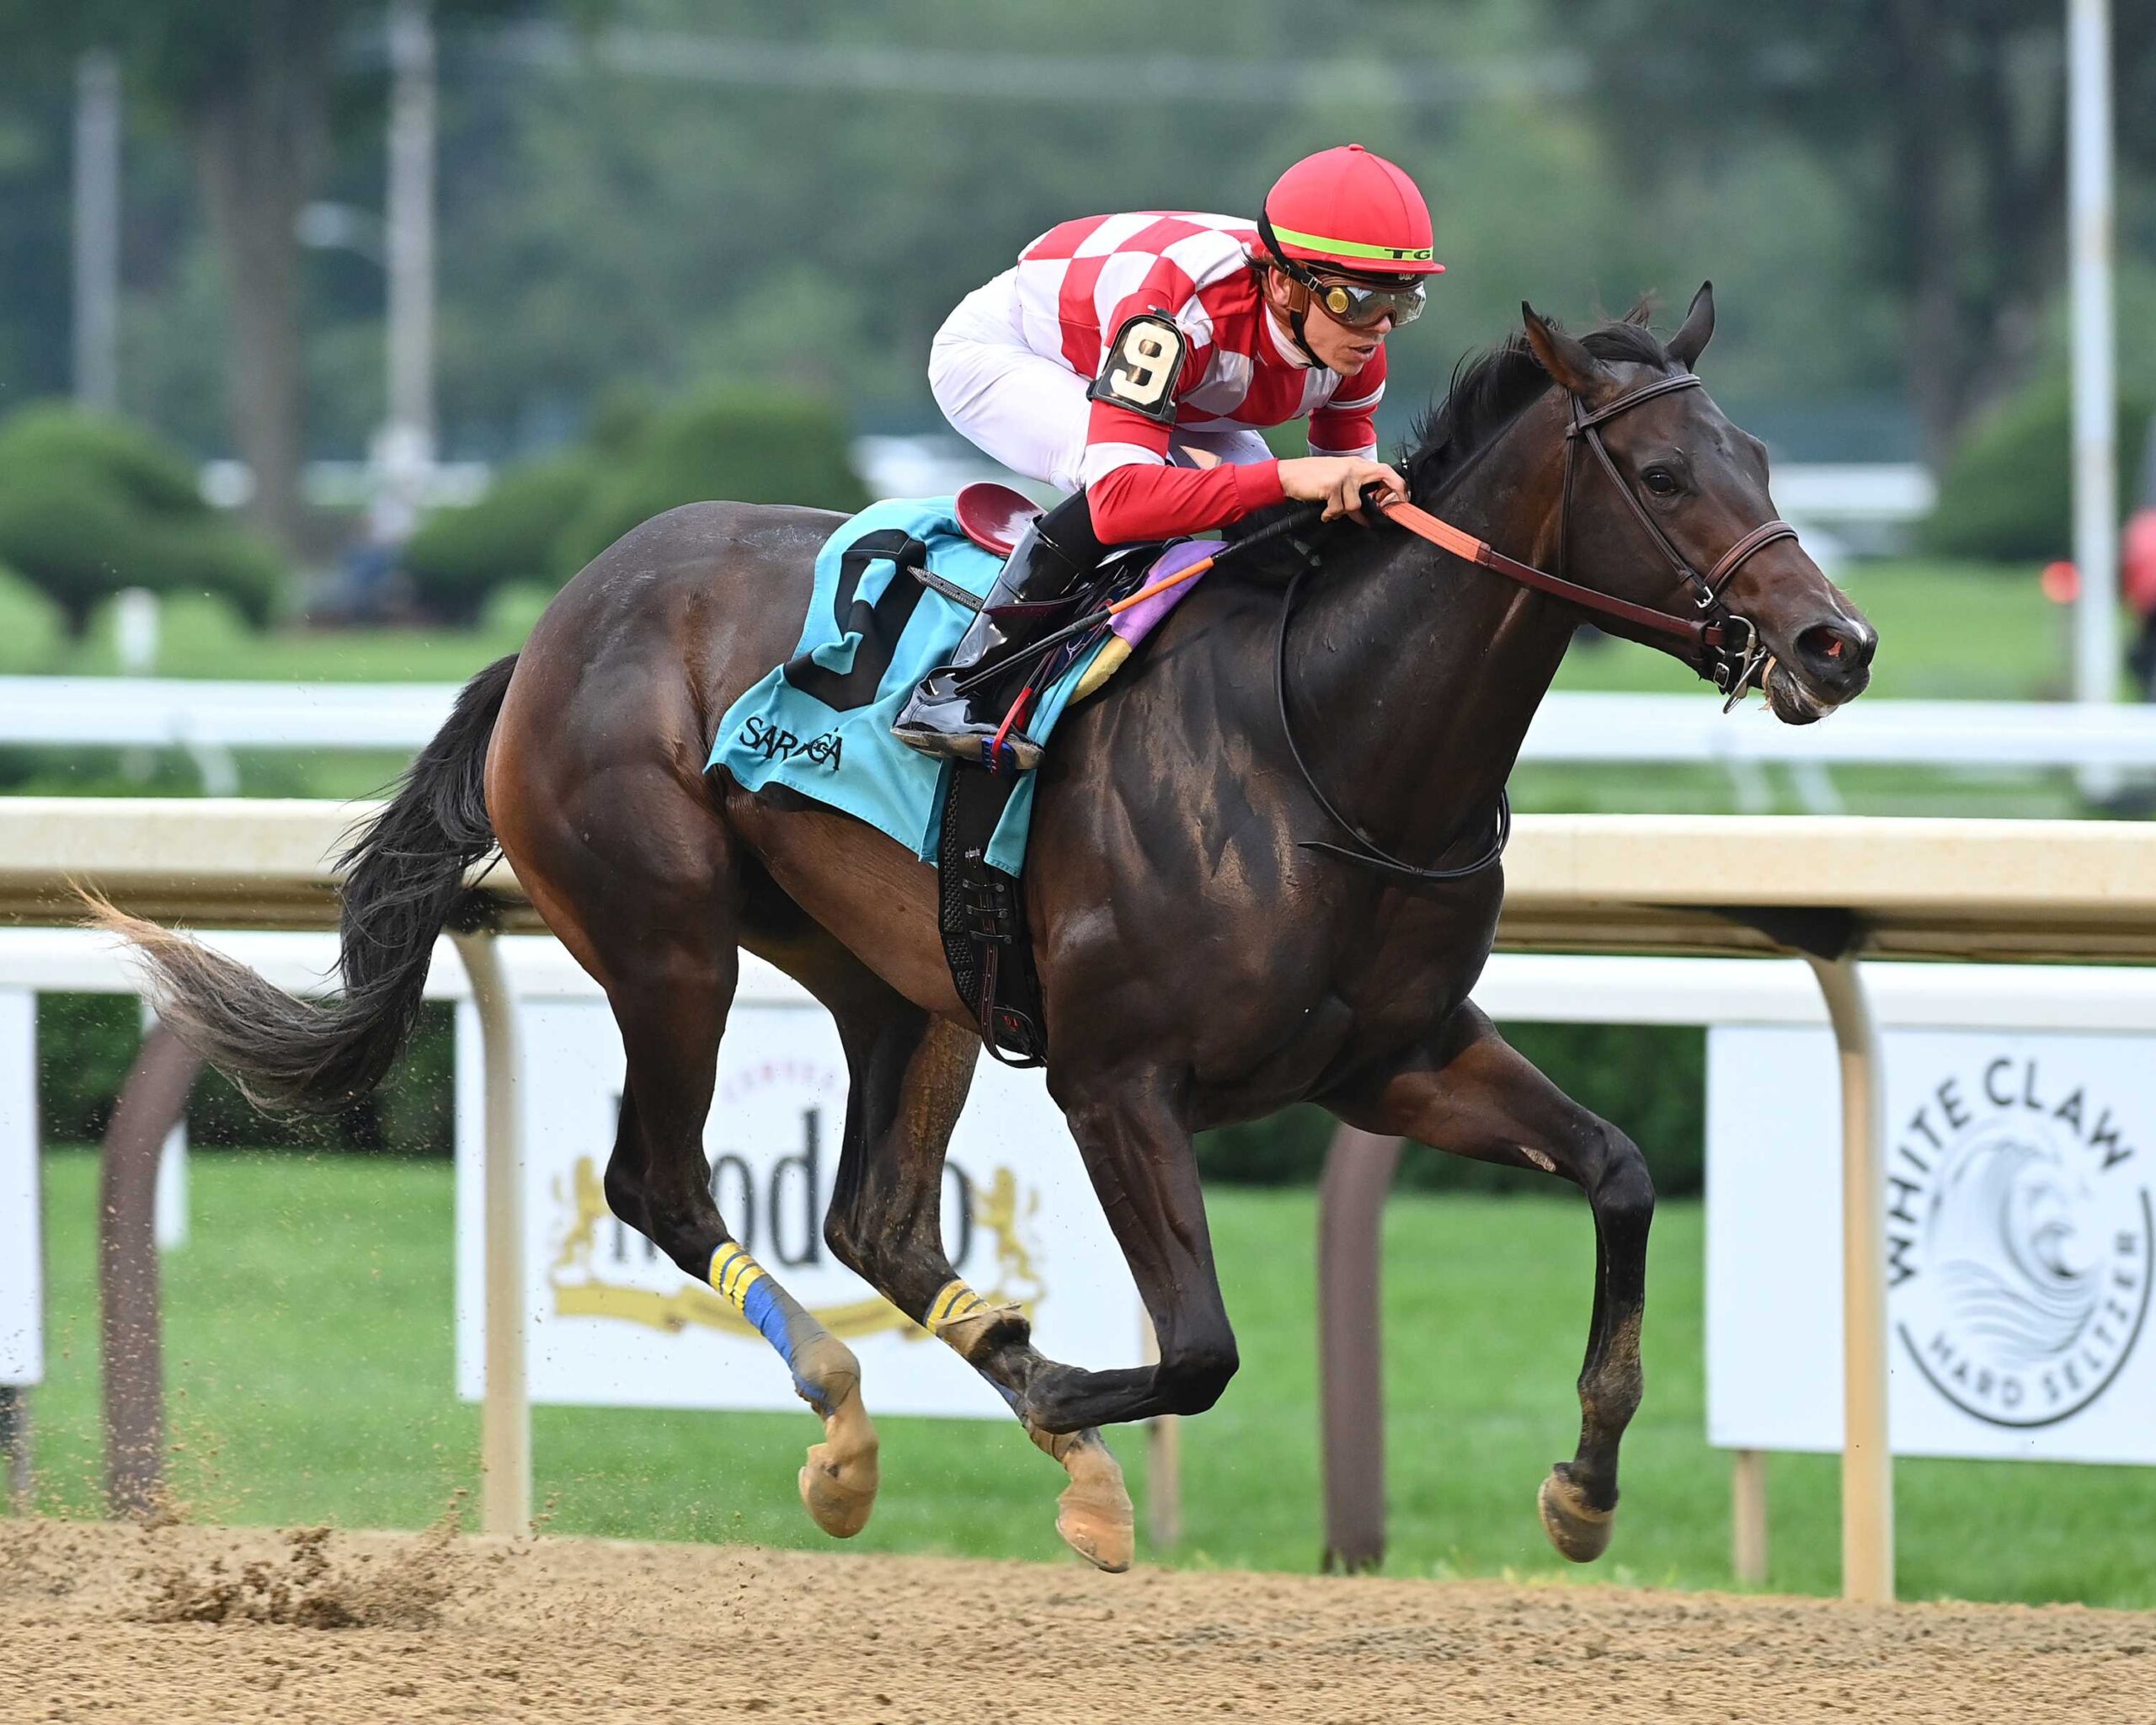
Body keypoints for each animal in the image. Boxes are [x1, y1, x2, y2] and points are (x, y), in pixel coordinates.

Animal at [103, 286, 1875, 1575]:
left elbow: (1622, 1172)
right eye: (1664, 475)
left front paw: (1583, 1483)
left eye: (1765, 457)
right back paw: (855, 1422)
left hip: (909, 982)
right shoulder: (1118, 1077)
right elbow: (1202, 1346)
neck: (1329, 737)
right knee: (662, 1181)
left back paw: (1023, 1433)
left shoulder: (1398, 1058)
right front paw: (1074, 1393)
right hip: (667, 938)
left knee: (877, 1215)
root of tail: (554, 621)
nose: (1835, 642)